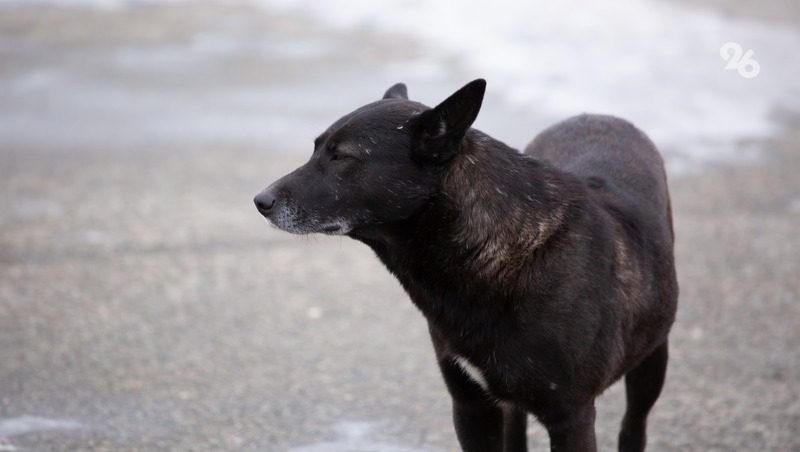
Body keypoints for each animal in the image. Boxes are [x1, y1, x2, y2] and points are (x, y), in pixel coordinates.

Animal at [255, 79, 676, 450]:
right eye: (316, 149)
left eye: (341, 156)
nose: (260, 201)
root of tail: (599, 115)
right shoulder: (472, 407)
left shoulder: (571, 417)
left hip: (652, 363)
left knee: (633, 426)